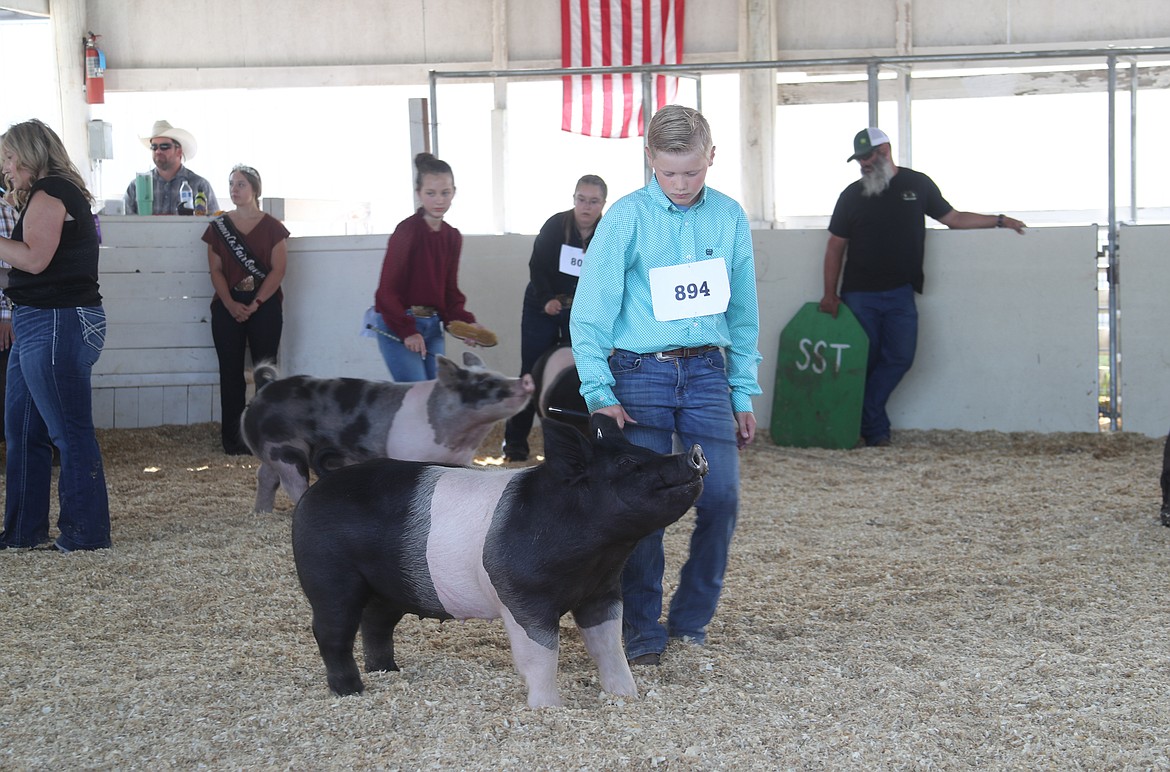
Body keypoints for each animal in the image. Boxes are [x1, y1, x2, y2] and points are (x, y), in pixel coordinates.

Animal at [242, 353, 535, 512]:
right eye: (484, 383)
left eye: (499, 373)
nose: (526, 379)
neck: (462, 437)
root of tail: (262, 391)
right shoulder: (410, 454)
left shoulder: (461, 459)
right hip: (285, 448)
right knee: (291, 481)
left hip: (272, 451)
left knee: (265, 476)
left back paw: (262, 512)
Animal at [287, 414, 706, 706]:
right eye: (625, 464)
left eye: (648, 453)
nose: (694, 453)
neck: (599, 554)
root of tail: (322, 482)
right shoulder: (521, 594)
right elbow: (541, 654)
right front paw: (549, 709)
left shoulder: (602, 591)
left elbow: (608, 647)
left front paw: (626, 697)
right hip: (328, 575)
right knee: (331, 631)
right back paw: (351, 692)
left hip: (390, 586)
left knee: (375, 622)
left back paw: (388, 671)